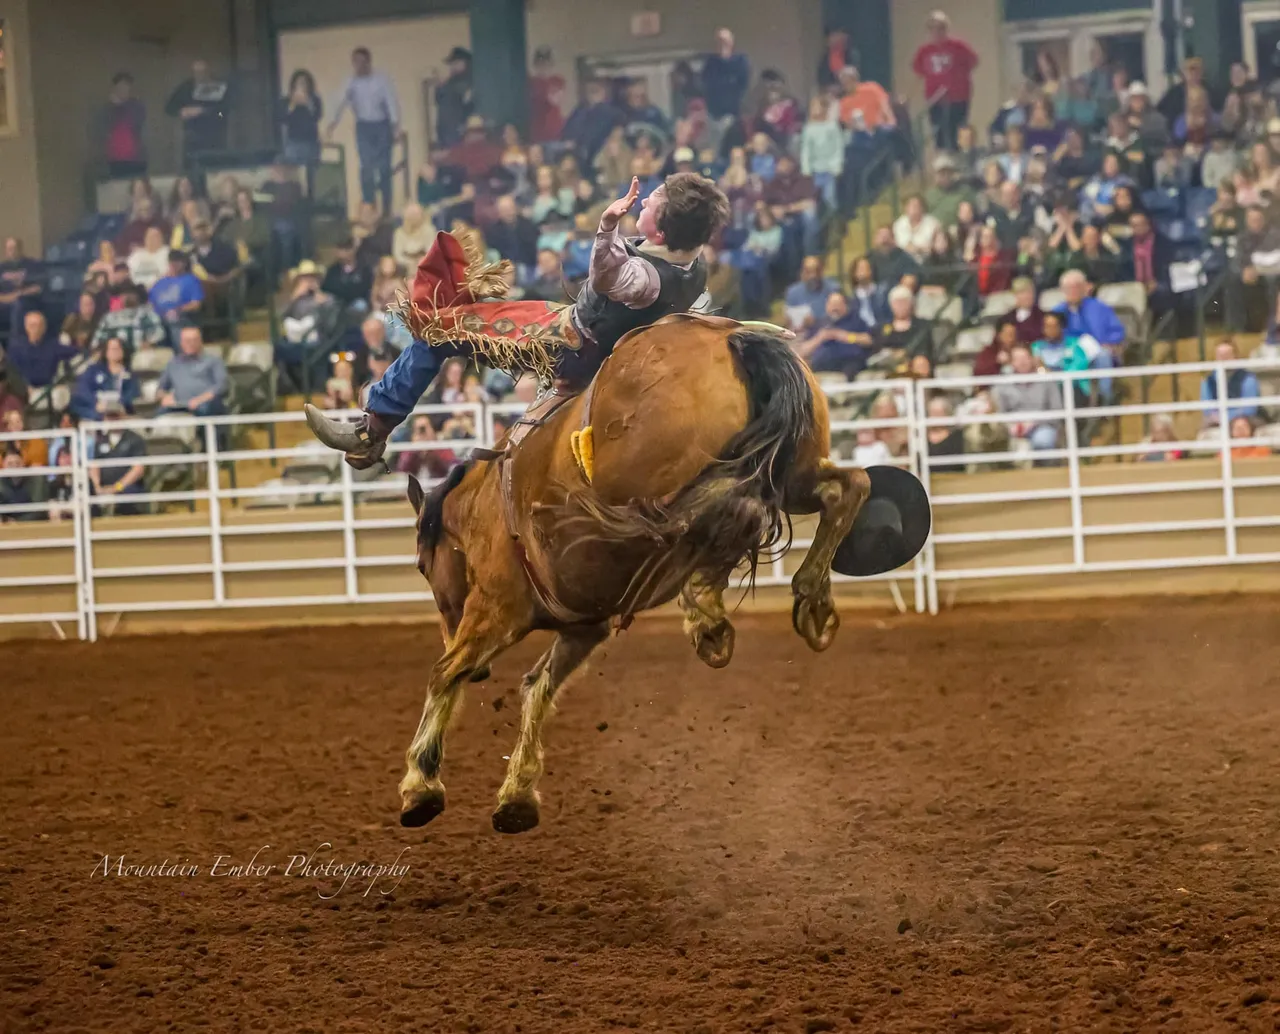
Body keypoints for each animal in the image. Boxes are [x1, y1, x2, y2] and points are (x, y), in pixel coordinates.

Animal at [345, 310, 926, 834]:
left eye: (423, 566)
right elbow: (537, 687)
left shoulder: (495, 608)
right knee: (843, 488)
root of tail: (730, 338)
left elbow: (446, 672)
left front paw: (420, 786)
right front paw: (517, 796)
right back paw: (808, 605)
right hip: (794, 468)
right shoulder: (584, 627)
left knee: (720, 515)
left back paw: (708, 612)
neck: (485, 502)